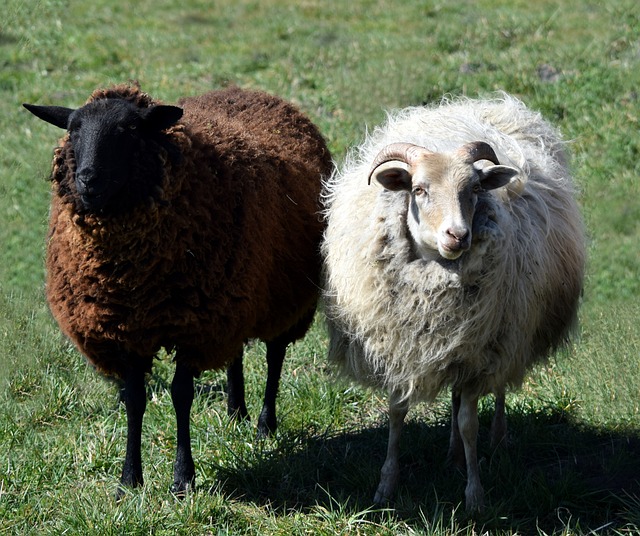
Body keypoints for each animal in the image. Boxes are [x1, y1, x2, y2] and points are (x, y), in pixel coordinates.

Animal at [322, 92, 588, 510]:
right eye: (418, 189)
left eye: (475, 189)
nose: (458, 235)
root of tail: (489, 103)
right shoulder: (402, 346)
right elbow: (397, 414)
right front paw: (386, 486)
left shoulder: (479, 354)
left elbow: (469, 423)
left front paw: (475, 494)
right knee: (455, 396)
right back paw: (451, 454)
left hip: (505, 336)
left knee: (494, 391)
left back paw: (496, 441)